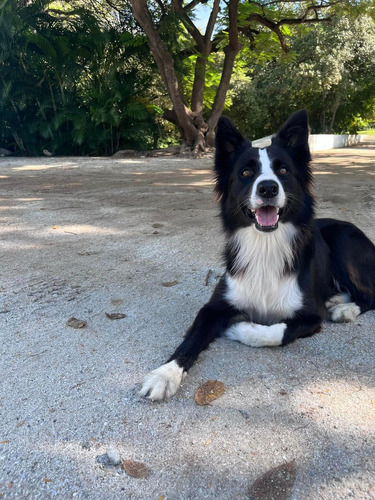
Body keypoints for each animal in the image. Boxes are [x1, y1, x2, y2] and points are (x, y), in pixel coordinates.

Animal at [140, 110, 375, 402]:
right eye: (246, 173)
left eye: (283, 171)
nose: (267, 188)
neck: (265, 245)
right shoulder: (213, 307)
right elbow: (190, 338)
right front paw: (165, 373)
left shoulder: (311, 317)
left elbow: (277, 331)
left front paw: (239, 329)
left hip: (343, 241)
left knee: (370, 294)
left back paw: (345, 308)